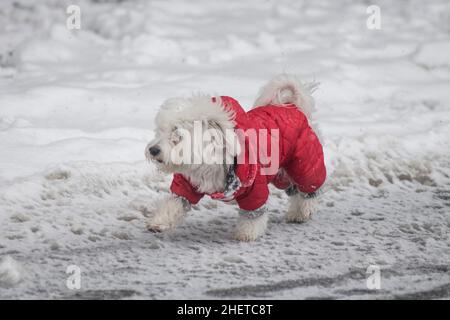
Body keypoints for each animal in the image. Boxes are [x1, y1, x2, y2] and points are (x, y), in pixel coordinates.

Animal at [146, 74, 326, 240]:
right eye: (160, 130)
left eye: (177, 133)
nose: (153, 150)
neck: (210, 160)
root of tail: (293, 107)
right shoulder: (186, 185)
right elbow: (175, 202)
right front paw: (160, 222)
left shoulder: (254, 188)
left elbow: (253, 215)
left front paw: (247, 233)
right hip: (281, 173)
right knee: (294, 188)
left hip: (303, 164)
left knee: (309, 188)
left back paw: (302, 211)